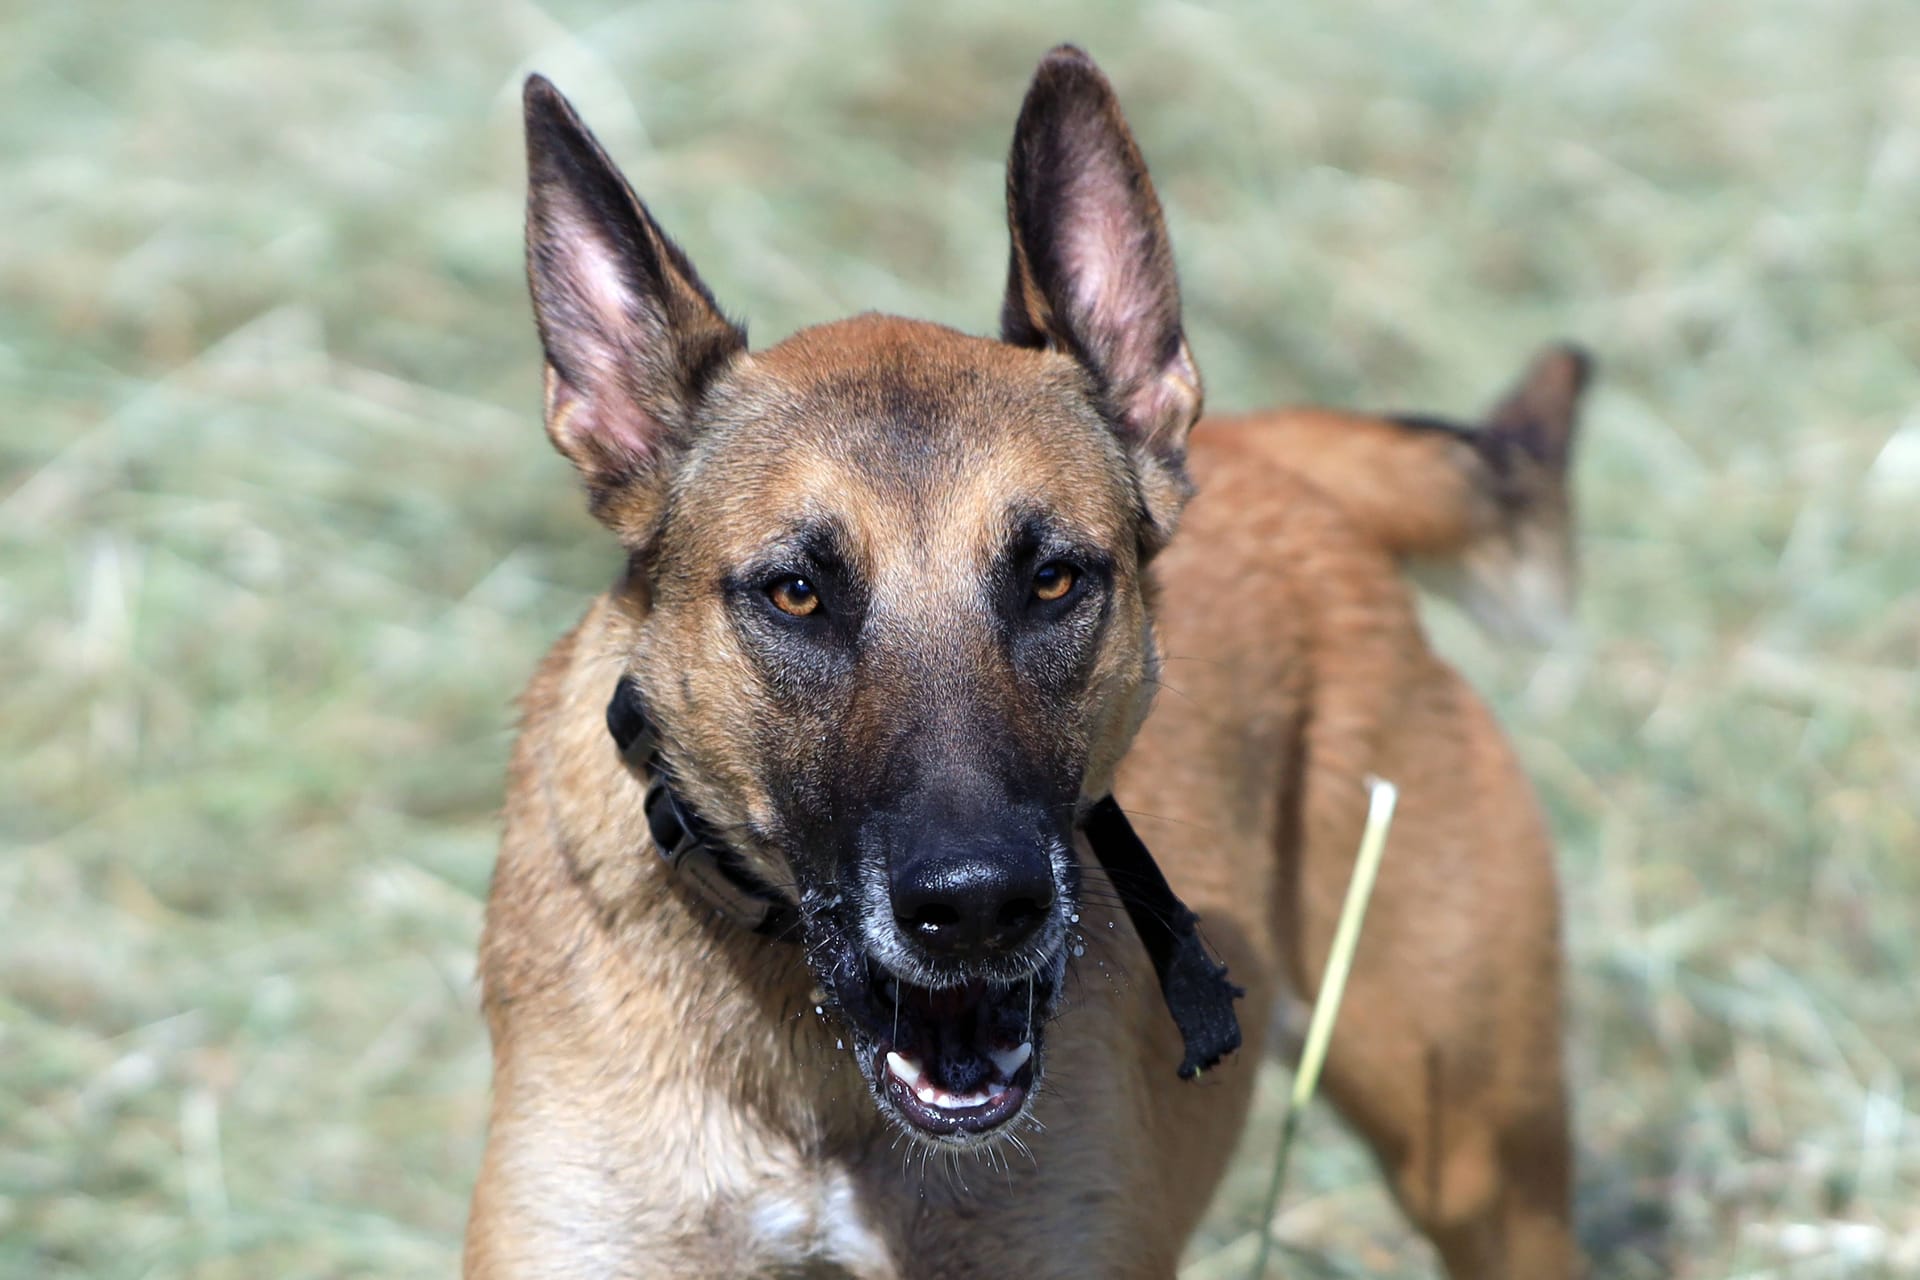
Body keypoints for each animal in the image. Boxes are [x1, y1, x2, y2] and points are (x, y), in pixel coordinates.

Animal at [460, 47, 1574, 1280]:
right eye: (796, 592)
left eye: (1052, 580)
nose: (979, 907)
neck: (819, 1087)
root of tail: (1269, 455)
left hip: (1479, 1165)